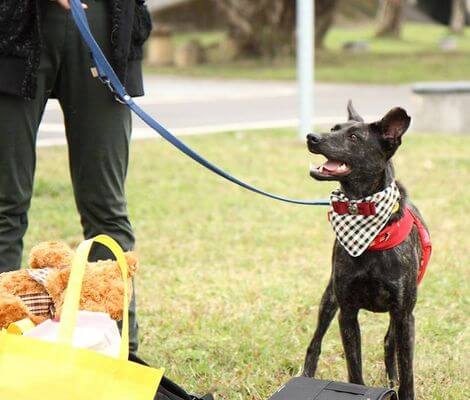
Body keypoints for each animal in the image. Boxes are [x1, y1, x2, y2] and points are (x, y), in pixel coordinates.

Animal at [302, 102, 432, 400]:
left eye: (354, 138)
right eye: (333, 128)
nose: (312, 137)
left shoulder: (404, 316)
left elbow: (407, 372)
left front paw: (400, 387)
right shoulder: (347, 313)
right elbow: (354, 370)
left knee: (388, 344)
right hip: (330, 298)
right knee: (315, 342)